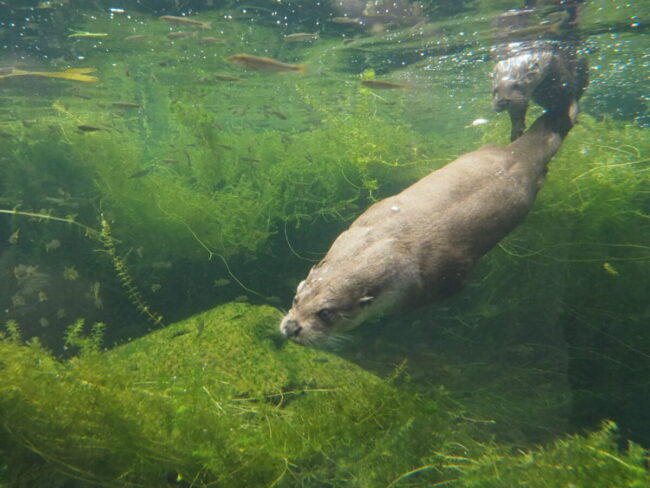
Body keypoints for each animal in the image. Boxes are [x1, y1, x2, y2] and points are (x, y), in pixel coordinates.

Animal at [280, 107, 576, 346]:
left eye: (325, 314)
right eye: (296, 298)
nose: (292, 327)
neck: (395, 241)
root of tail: (520, 154)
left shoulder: (441, 276)